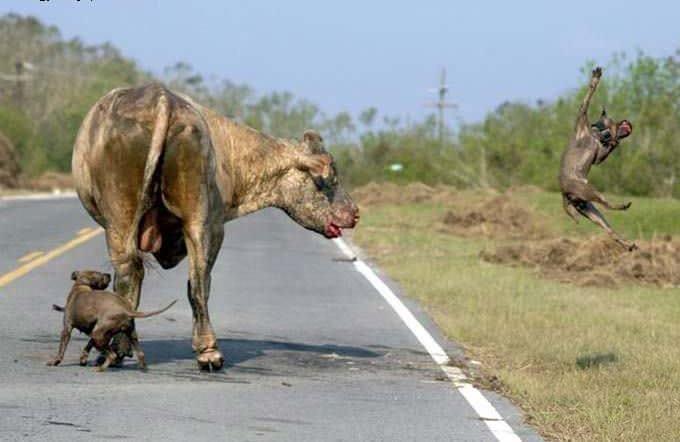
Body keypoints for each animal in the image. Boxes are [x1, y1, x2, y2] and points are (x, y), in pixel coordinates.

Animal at [47, 272, 175, 372]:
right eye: (100, 274)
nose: (109, 274)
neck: (81, 285)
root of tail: (125, 310)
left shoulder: (67, 329)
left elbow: (62, 348)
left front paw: (55, 361)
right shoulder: (94, 331)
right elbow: (88, 344)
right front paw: (83, 358)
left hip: (99, 334)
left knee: (112, 355)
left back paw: (101, 368)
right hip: (126, 334)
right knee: (140, 353)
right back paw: (143, 368)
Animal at [556, 67, 636, 250]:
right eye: (611, 118)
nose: (628, 123)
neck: (596, 133)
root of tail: (565, 194)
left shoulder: (599, 155)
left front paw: (614, 141)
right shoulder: (582, 114)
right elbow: (589, 95)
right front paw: (596, 77)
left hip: (591, 211)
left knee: (610, 231)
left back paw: (627, 244)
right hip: (590, 192)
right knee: (607, 204)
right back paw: (622, 206)